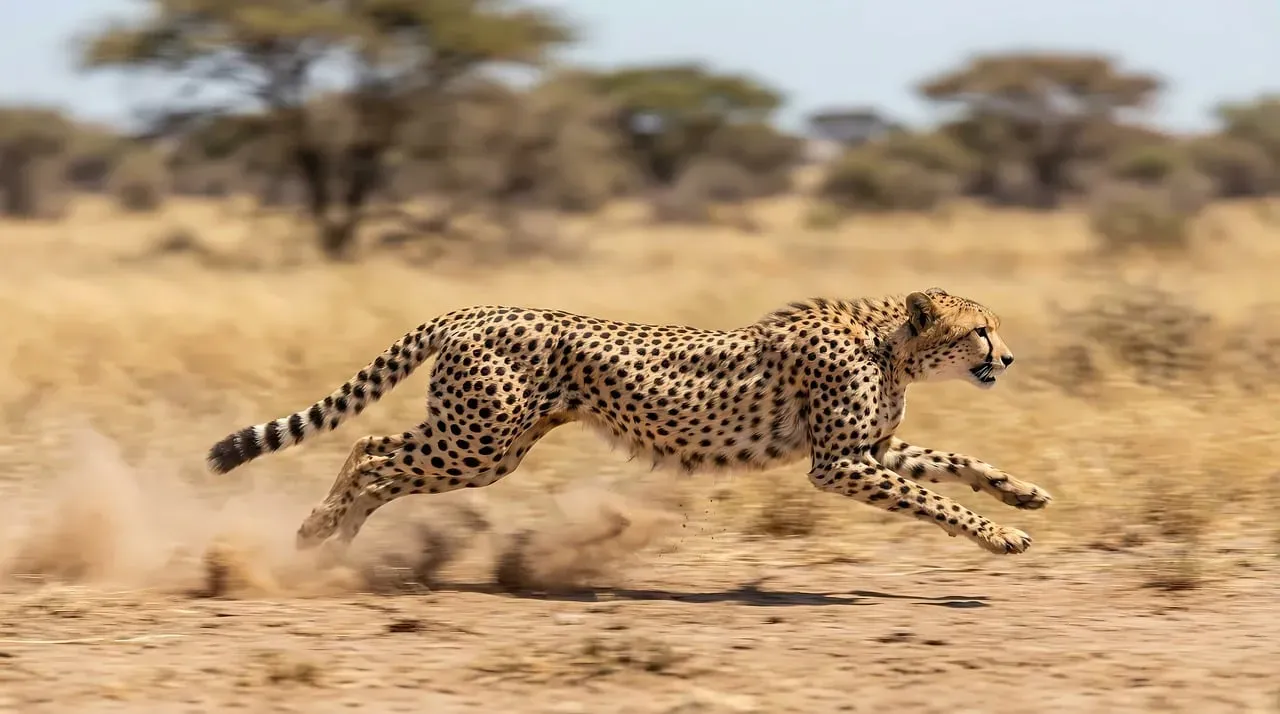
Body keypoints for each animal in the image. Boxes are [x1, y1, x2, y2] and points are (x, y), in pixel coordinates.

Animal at [206, 287, 1052, 557]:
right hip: (479, 442)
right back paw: (320, 529)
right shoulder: (839, 462)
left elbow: (953, 462)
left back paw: (334, 537)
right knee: (373, 446)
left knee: (377, 450)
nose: (1009, 359)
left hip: (485, 441)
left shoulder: (870, 448)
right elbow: (934, 497)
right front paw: (1000, 536)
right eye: (981, 331)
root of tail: (477, 308)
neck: (890, 346)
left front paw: (1021, 494)